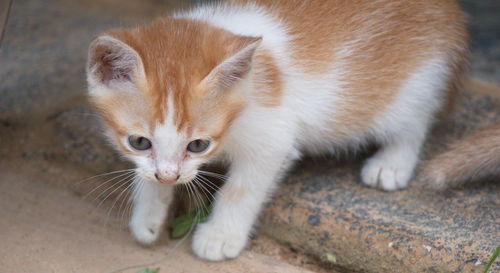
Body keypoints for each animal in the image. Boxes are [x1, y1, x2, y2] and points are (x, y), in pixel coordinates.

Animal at [87, 0, 468, 260]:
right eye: (139, 141)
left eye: (198, 145)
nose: (169, 176)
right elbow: (145, 174)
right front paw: (148, 215)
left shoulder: (272, 137)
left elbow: (242, 189)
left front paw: (220, 237)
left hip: (415, 78)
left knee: (415, 119)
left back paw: (392, 163)